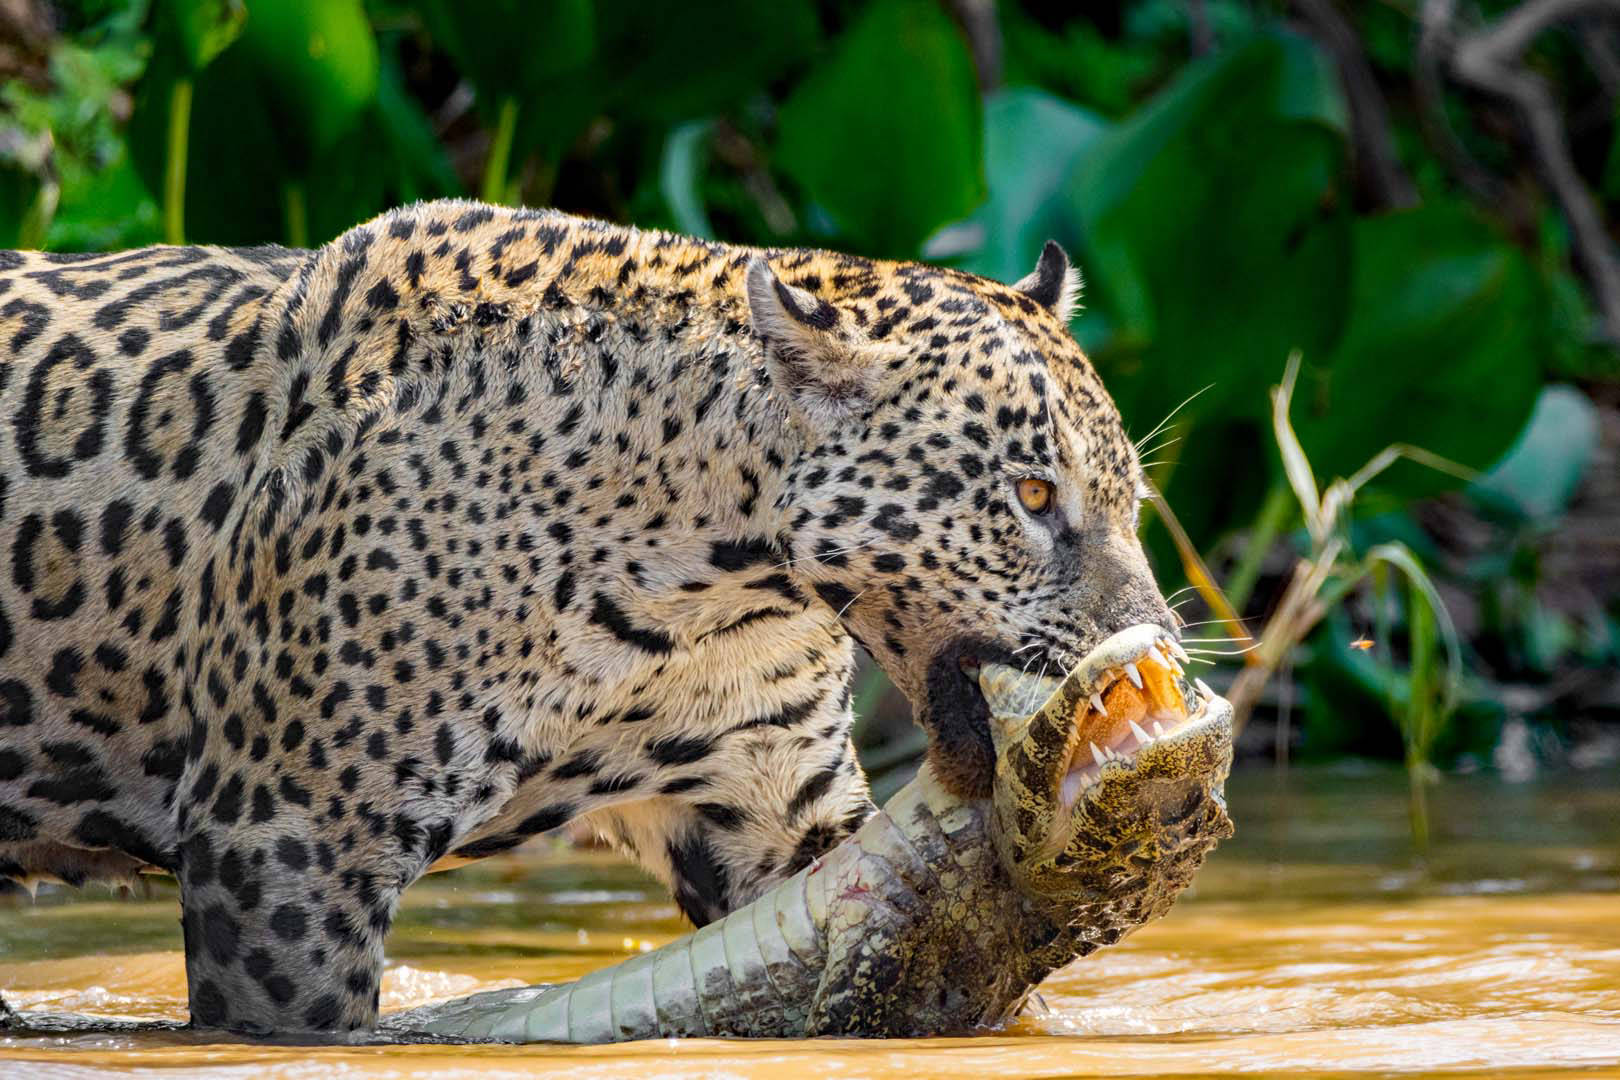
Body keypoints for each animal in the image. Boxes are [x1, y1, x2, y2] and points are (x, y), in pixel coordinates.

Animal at [0, 199, 1177, 1036]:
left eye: (1132, 500)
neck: (707, 587)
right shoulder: (286, 843)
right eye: (1033, 497)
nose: (1159, 646)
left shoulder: (774, 807)